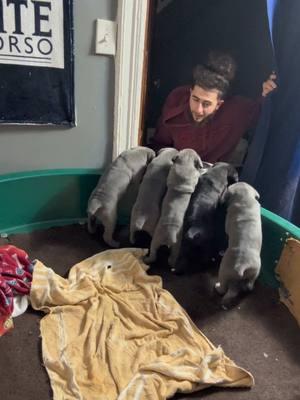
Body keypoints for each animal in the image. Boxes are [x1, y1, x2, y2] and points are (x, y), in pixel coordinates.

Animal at [214, 182, 262, 310]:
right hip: (254, 271)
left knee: (224, 289)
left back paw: (217, 287)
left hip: (224, 271)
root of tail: (242, 265)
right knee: (248, 286)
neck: (246, 198)